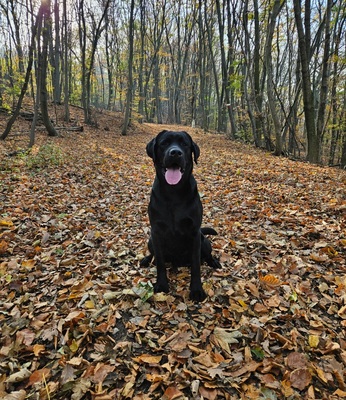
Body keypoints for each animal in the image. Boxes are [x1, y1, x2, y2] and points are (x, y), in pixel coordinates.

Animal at [141, 130, 220, 302]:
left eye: (184, 144)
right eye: (164, 143)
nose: (175, 152)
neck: (174, 193)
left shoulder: (194, 232)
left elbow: (196, 265)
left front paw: (196, 290)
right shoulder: (156, 231)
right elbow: (160, 262)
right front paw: (162, 284)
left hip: (204, 240)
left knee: (206, 254)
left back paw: (214, 262)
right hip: (150, 240)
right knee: (154, 255)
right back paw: (146, 259)